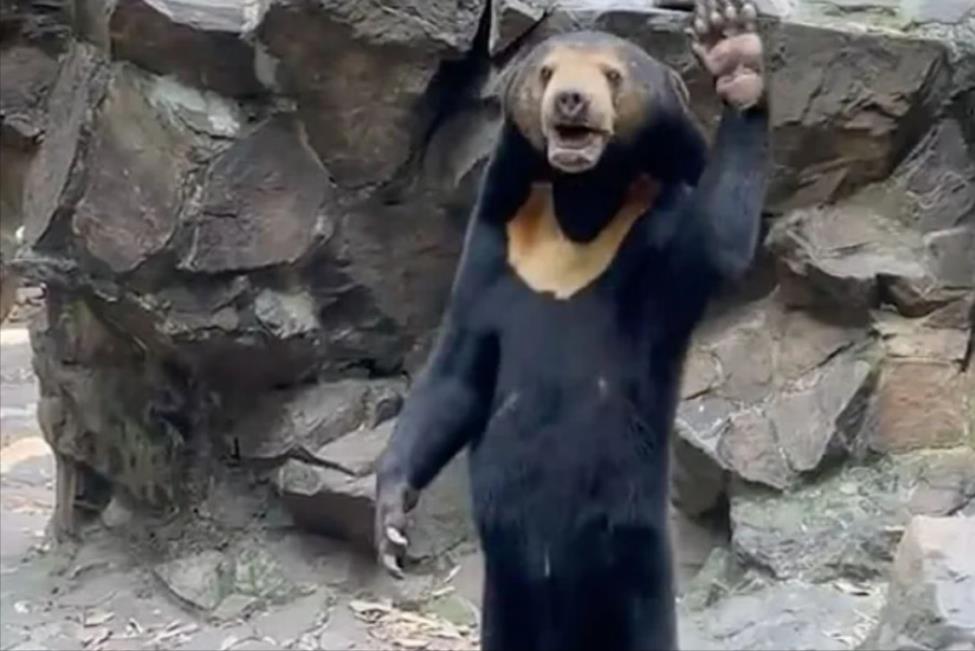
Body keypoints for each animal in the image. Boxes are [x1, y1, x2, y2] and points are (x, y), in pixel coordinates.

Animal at [375, 1, 770, 649]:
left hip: (634, 563)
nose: (571, 102)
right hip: (506, 587)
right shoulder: (497, 250)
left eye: (612, 75)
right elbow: (458, 371)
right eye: (546, 72)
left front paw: (734, 56)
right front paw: (390, 523)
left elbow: (718, 241)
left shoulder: (659, 235)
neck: (578, 206)